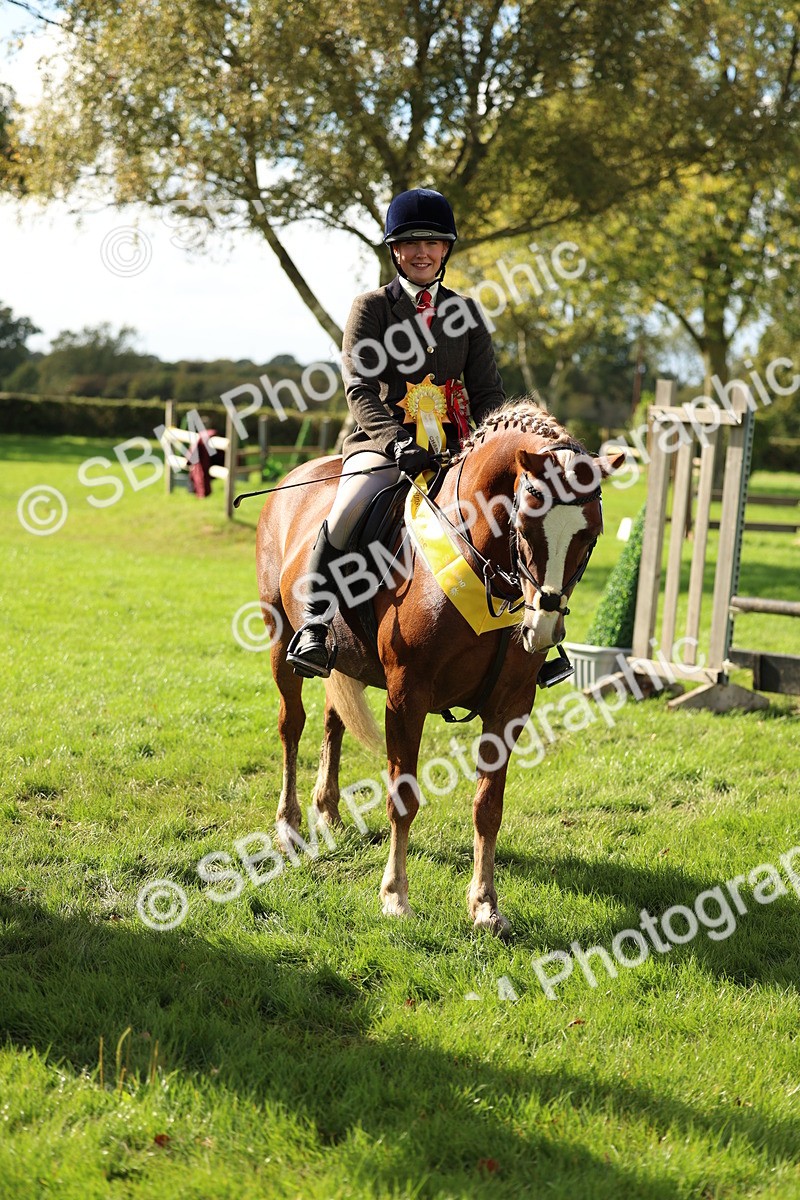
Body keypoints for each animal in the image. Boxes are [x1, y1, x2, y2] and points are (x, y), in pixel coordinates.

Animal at [255, 400, 624, 935]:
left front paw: (486, 906)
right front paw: (395, 896)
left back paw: (329, 813)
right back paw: (290, 826)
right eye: (525, 525)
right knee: (292, 725)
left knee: (331, 722)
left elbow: (488, 806)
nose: (543, 628)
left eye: (591, 535)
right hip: (279, 634)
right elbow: (403, 796)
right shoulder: (407, 696)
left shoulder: (511, 705)